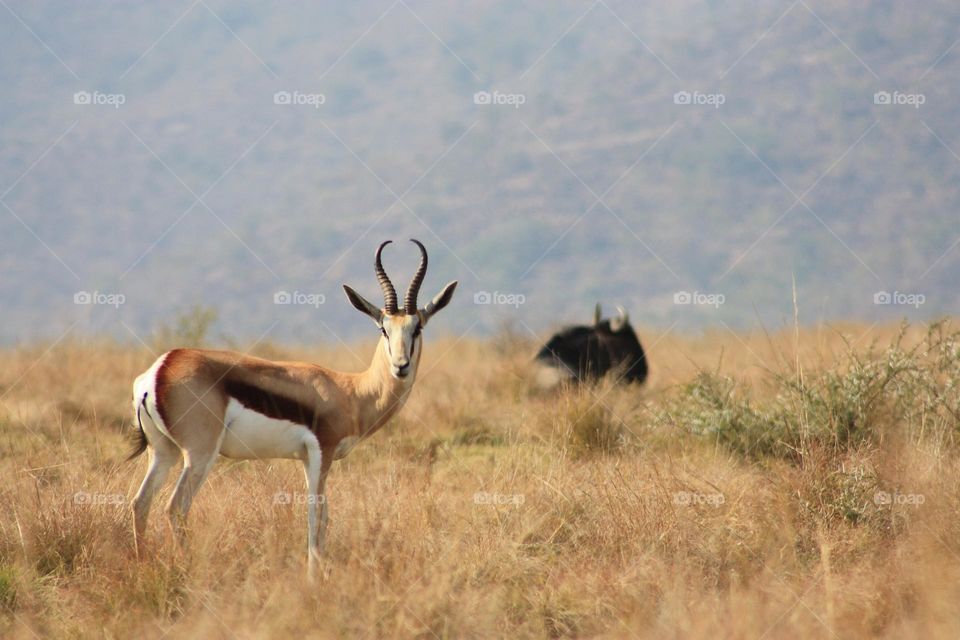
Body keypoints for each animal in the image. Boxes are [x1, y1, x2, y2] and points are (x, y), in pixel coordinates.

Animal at [128, 239, 456, 576]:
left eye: (417, 328)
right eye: (383, 329)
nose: (400, 366)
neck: (351, 391)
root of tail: (160, 369)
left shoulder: (305, 458)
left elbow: (322, 515)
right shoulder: (322, 453)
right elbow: (317, 515)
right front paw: (315, 575)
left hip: (163, 451)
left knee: (141, 503)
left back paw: (141, 566)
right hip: (199, 454)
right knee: (175, 507)